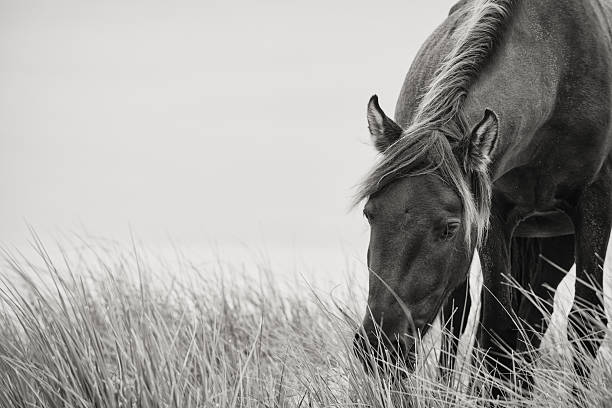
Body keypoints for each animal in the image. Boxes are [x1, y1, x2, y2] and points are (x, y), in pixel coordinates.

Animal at [352, 0, 612, 398]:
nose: (380, 346)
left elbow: (586, 322)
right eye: (369, 214)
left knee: (533, 319)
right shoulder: (495, 215)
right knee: (471, 316)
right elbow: (495, 325)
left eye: (449, 227)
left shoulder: (594, 204)